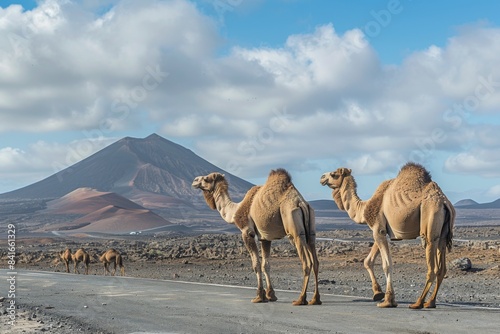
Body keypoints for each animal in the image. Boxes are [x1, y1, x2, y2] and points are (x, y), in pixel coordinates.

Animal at [191, 170, 320, 306]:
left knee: (307, 261)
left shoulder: (247, 232)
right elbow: (266, 265)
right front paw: (271, 295)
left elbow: (256, 265)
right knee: (315, 261)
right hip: (311, 229)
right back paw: (315, 299)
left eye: (206, 179)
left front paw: (259, 296)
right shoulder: (265, 237)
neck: (235, 211)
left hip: (294, 228)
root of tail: (301, 203)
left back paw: (300, 299)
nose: (194, 181)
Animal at [320, 163, 458, 310]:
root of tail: (444, 202)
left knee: (432, 267)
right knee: (442, 268)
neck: (364, 208)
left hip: (430, 219)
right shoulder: (381, 230)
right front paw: (377, 293)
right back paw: (430, 302)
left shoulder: (377, 229)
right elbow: (368, 261)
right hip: (443, 234)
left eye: (334, 174)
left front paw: (388, 301)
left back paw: (418, 303)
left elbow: (387, 264)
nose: (322, 177)